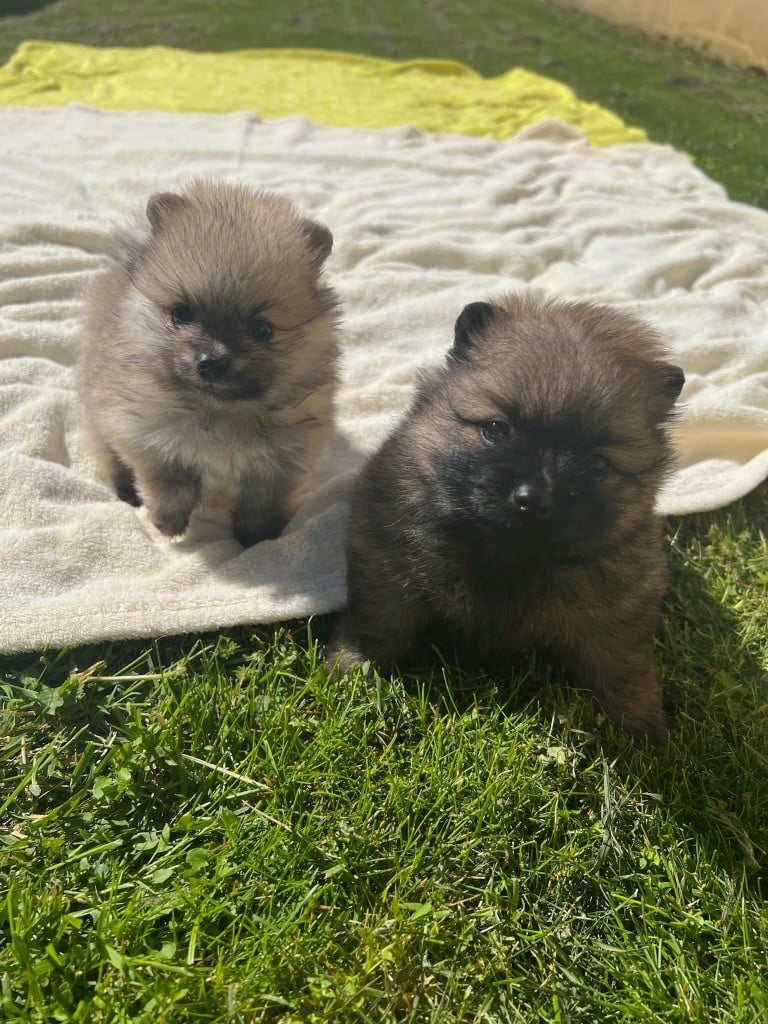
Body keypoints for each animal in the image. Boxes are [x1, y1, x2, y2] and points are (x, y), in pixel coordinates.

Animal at [78, 180, 339, 548]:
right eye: (181, 314)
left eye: (262, 329)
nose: (212, 362)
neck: (218, 411)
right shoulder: (141, 432)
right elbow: (170, 486)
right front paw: (168, 522)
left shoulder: (283, 457)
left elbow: (262, 500)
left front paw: (258, 537)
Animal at [331, 292, 684, 741]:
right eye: (497, 428)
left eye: (596, 464)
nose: (532, 499)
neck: (504, 556)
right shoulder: (387, 566)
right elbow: (376, 626)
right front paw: (347, 672)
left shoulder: (616, 612)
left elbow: (624, 669)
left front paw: (644, 730)